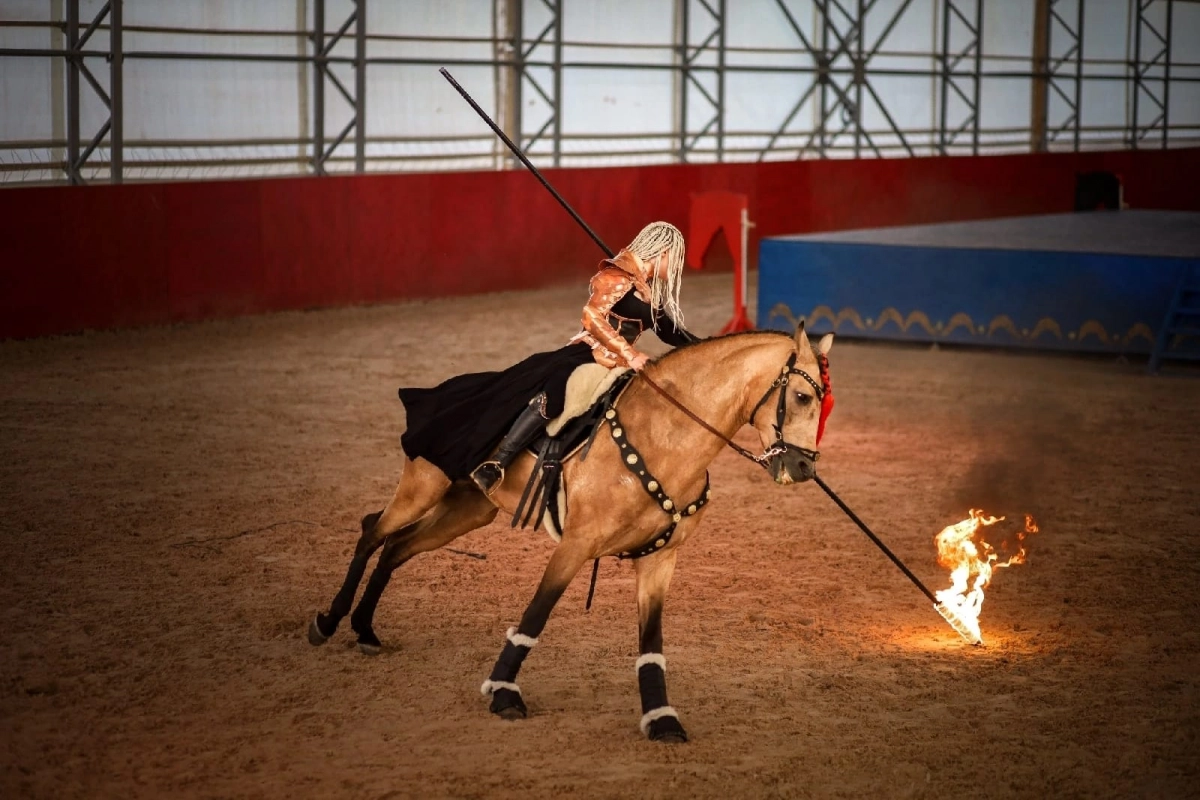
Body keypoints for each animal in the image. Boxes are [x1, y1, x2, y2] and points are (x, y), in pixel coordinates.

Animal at [307, 321, 835, 743]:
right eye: (802, 396)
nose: (804, 468)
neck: (664, 437)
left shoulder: (661, 560)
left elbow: (652, 641)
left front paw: (662, 719)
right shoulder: (577, 545)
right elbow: (536, 616)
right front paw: (503, 695)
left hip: (467, 509)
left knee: (398, 547)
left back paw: (365, 628)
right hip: (423, 484)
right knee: (373, 532)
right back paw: (328, 622)